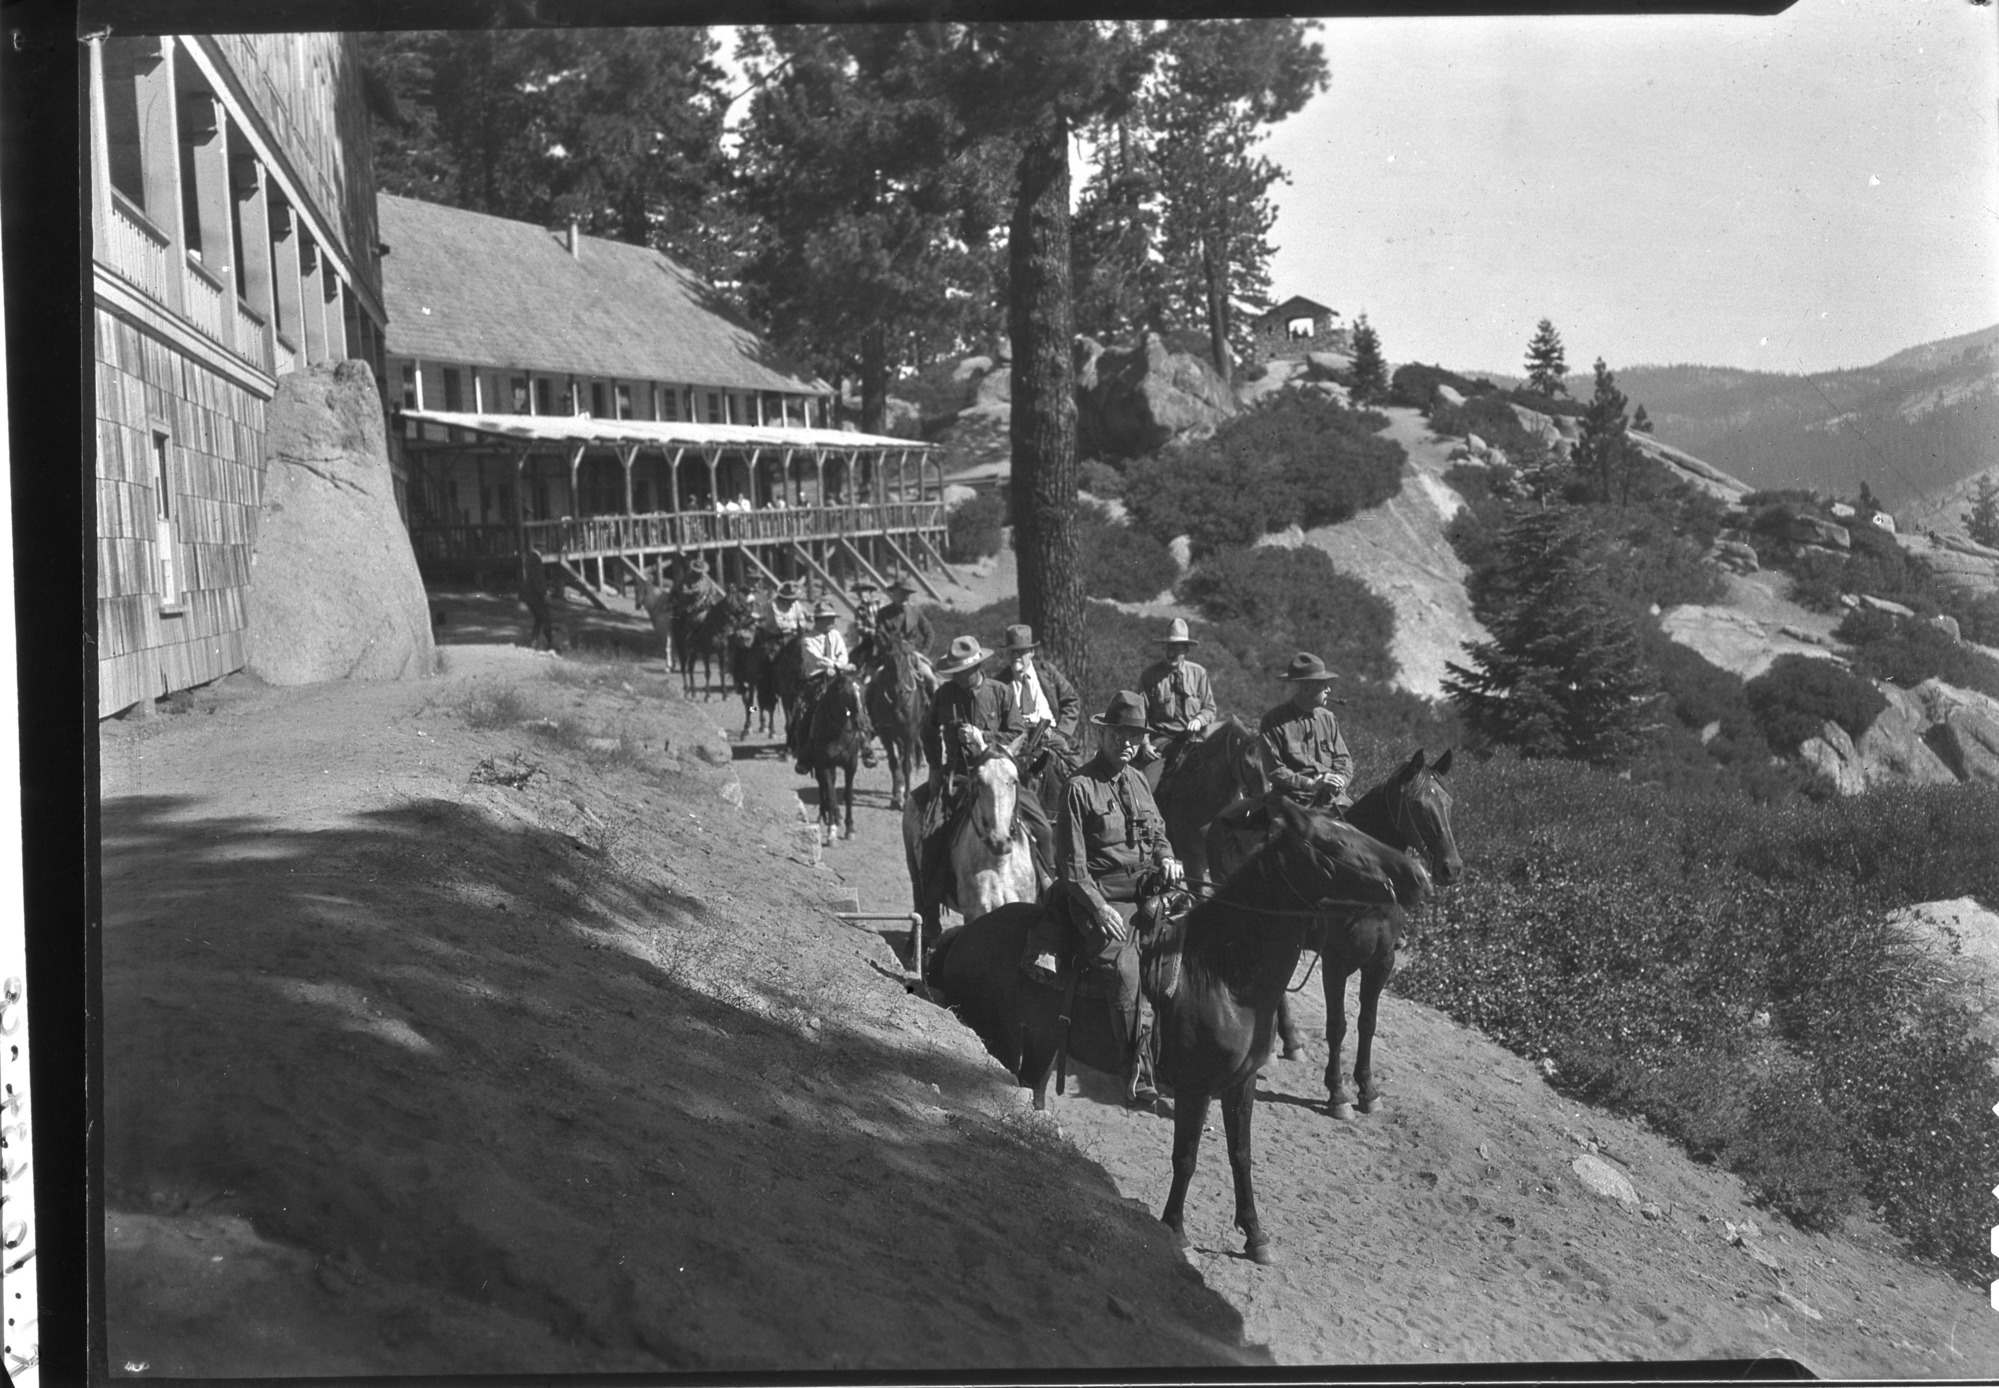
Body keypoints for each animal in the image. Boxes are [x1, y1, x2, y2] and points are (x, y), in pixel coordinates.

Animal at [927, 804, 1431, 1272]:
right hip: (995, 1039)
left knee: (1031, 1091)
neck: (1225, 973)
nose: (1418, 875)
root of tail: (962, 935)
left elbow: (1241, 1155)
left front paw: (1255, 1236)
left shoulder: (1241, 1084)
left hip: (1043, 1045)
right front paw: (1176, 1229)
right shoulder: (1195, 1088)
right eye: (1335, 843)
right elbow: (1186, 1156)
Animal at [1207, 752, 1463, 1120]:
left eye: (1448, 802)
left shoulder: (1382, 962)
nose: (1450, 868)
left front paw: (1368, 1090)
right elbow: (1337, 1025)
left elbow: (1367, 1023)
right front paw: (1338, 1093)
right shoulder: (1336, 962)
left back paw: (1290, 1042)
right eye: (1417, 804)